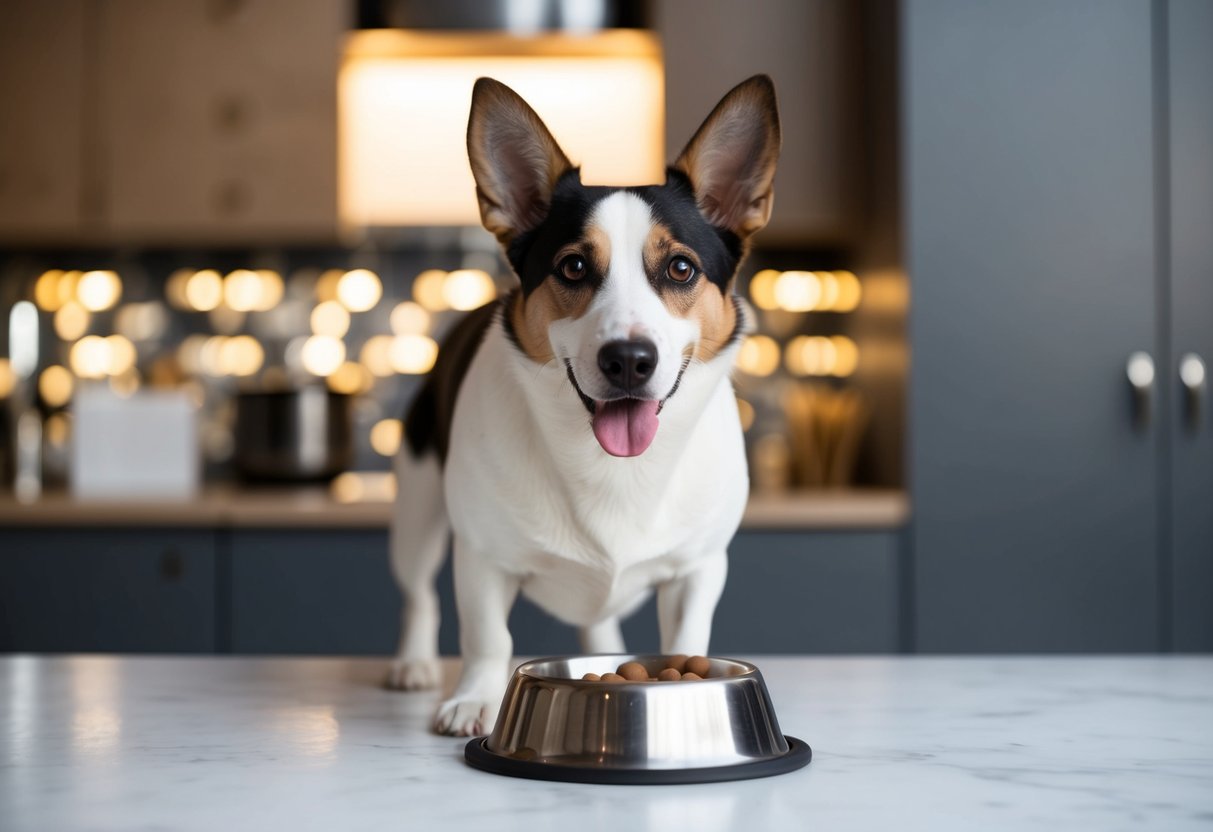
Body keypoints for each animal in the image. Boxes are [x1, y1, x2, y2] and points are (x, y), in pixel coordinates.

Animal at [393, 73, 781, 737]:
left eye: (681, 268)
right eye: (573, 266)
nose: (629, 359)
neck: (613, 469)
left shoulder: (700, 567)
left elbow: (688, 637)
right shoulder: (482, 559)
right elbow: (487, 638)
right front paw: (474, 698)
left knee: (598, 621)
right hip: (417, 514)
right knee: (418, 596)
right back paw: (414, 664)